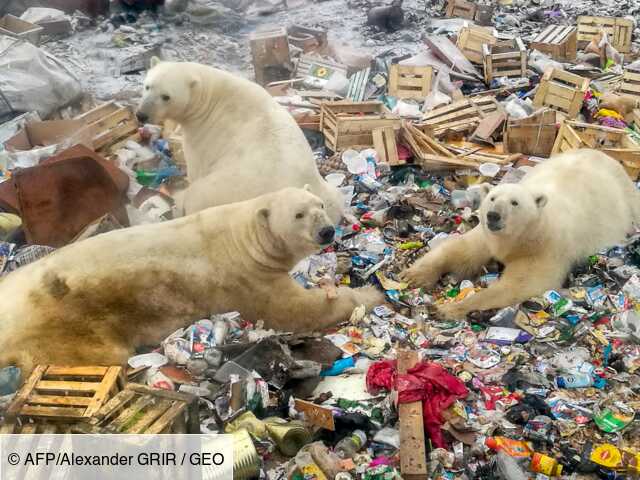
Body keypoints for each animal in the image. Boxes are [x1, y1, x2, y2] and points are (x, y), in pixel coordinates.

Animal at [0, 186, 380, 374]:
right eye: (299, 214)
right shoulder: (247, 279)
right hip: (66, 324)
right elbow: (293, 310)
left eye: (320, 205)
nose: (326, 230)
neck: (245, 239)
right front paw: (369, 295)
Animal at [135, 59, 344, 223]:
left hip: (222, 190)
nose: (141, 115)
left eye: (166, 96)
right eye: (147, 86)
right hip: (325, 190)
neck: (210, 95)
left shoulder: (203, 132)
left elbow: (196, 167)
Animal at [402, 151, 640, 318]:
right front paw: (413, 276)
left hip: (627, 200)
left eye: (514, 202)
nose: (493, 215)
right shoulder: (488, 237)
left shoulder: (544, 249)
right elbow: (459, 251)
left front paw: (449, 308)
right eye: (492, 198)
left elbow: (520, 284)